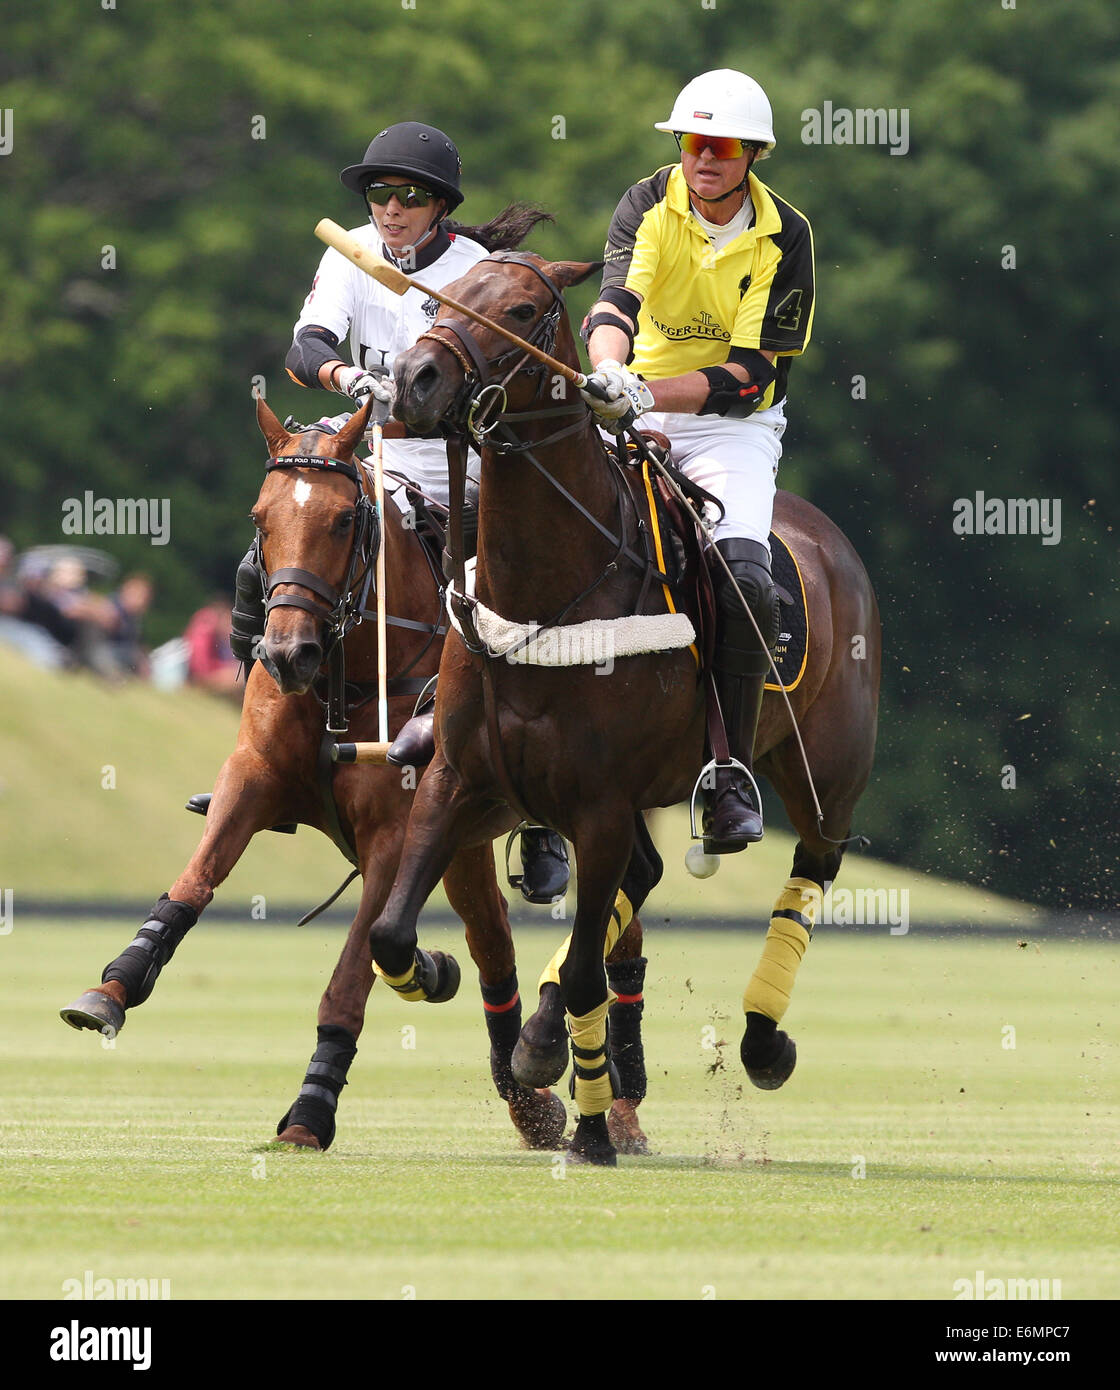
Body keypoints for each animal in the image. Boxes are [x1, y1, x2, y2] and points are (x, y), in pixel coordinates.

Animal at [58, 394, 614, 1150]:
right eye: (259, 518)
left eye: (344, 520)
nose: (287, 654)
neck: (345, 677)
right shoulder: (252, 777)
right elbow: (192, 885)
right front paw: (113, 987)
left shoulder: (394, 832)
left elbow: (350, 977)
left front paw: (310, 1111)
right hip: (459, 841)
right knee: (488, 946)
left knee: (495, 946)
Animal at [364, 255, 883, 1167]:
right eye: (442, 297)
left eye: (524, 309)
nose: (417, 380)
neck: (548, 591)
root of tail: (825, 535)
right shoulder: (460, 778)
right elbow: (391, 934)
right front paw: (446, 979)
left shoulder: (600, 805)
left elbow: (583, 970)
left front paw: (591, 1127)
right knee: (638, 883)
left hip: (826, 772)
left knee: (811, 869)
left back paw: (762, 1038)